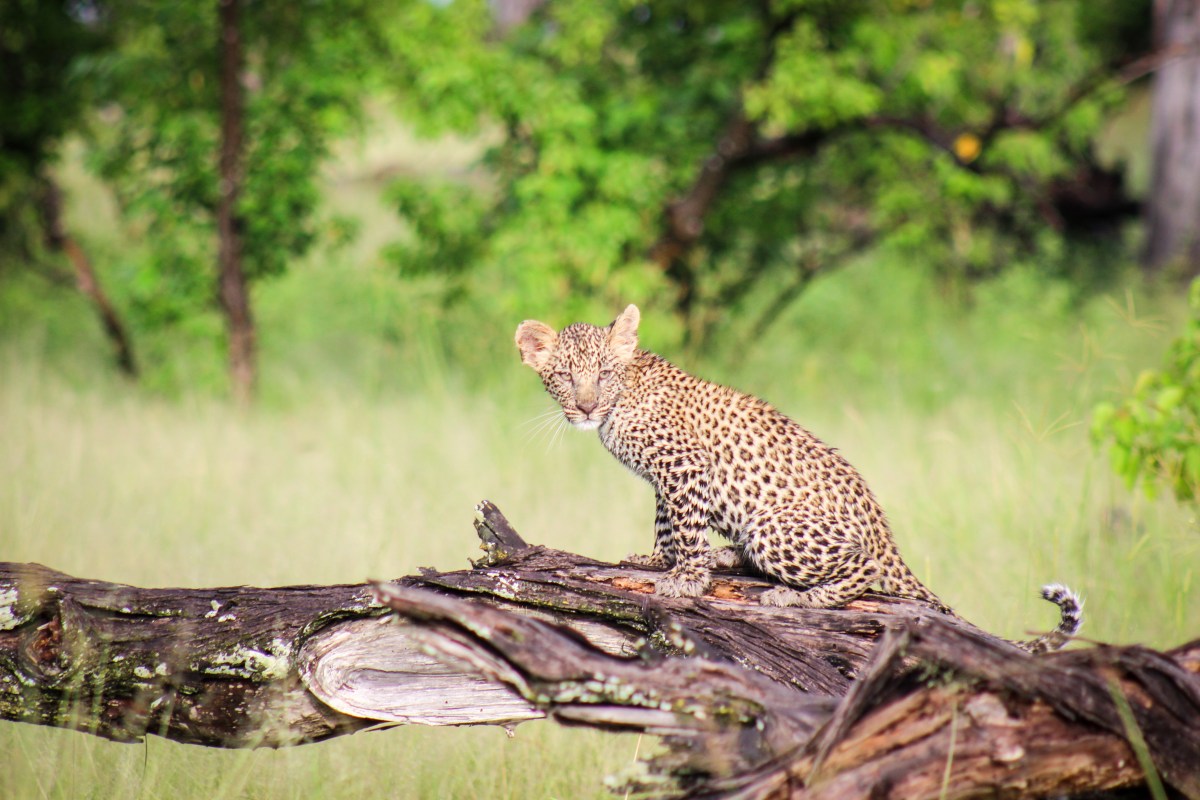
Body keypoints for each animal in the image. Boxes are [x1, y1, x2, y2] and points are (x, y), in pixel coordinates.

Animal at [515, 303, 1082, 654]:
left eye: (603, 374)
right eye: (564, 377)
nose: (586, 406)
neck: (622, 400)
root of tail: (885, 534)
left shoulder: (686, 466)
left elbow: (685, 528)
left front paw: (685, 578)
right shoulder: (666, 478)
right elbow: (667, 524)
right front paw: (657, 561)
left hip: (779, 526)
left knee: (862, 570)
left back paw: (792, 596)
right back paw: (731, 558)